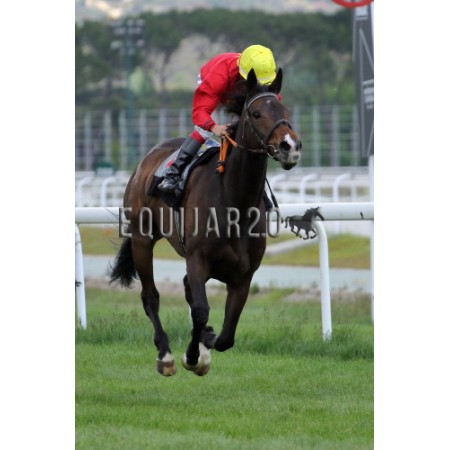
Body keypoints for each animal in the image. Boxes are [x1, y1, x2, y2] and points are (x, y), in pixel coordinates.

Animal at [110, 68, 302, 376]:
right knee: (151, 296)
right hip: (142, 239)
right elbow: (200, 311)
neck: (235, 201)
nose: (290, 146)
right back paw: (165, 355)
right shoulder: (198, 259)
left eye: (285, 111)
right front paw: (192, 355)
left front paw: (206, 341)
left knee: (186, 288)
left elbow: (227, 335)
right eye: (256, 113)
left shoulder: (244, 275)